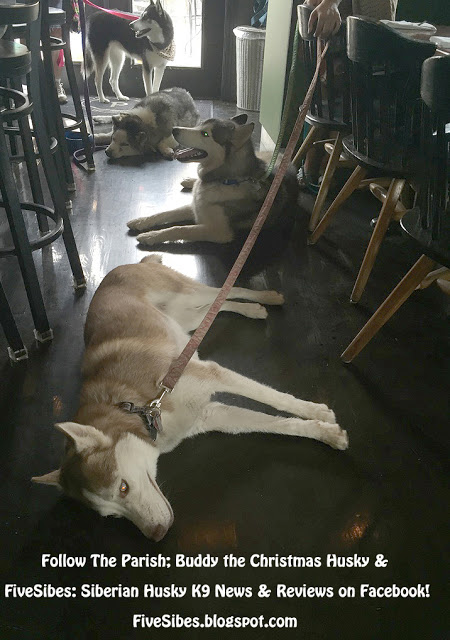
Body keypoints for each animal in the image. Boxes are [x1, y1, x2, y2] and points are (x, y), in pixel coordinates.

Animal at [32, 256, 348, 540]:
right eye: (111, 516)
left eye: (123, 488)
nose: (156, 535)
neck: (137, 409)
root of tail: (125, 266)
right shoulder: (212, 414)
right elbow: (278, 424)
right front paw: (326, 433)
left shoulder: (212, 374)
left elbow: (276, 400)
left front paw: (317, 412)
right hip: (185, 317)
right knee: (216, 304)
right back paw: (252, 310)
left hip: (185, 293)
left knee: (225, 288)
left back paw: (265, 297)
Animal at [127, 114, 299, 246]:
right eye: (200, 125)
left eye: (205, 134)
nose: (174, 129)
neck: (226, 179)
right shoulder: (196, 205)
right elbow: (165, 213)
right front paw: (141, 221)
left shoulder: (219, 232)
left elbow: (179, 229)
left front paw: (150, 236)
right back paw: (190, 181)